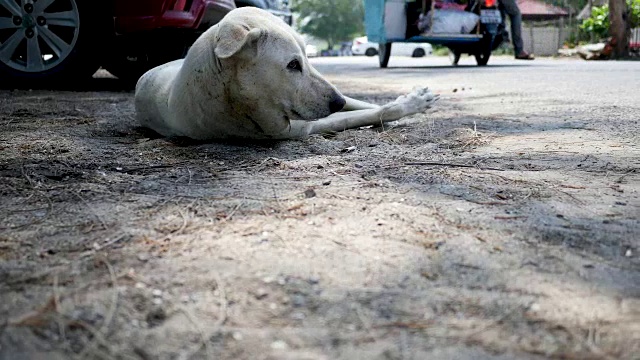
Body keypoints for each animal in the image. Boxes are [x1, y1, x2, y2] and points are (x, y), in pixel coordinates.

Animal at [133, 8, 438, 141]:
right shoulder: (302, 127)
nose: (337, 102)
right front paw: (406, 106)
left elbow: (367, 107)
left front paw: (413, 100)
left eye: (305, 59)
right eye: (292, 65)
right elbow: (375, 113)